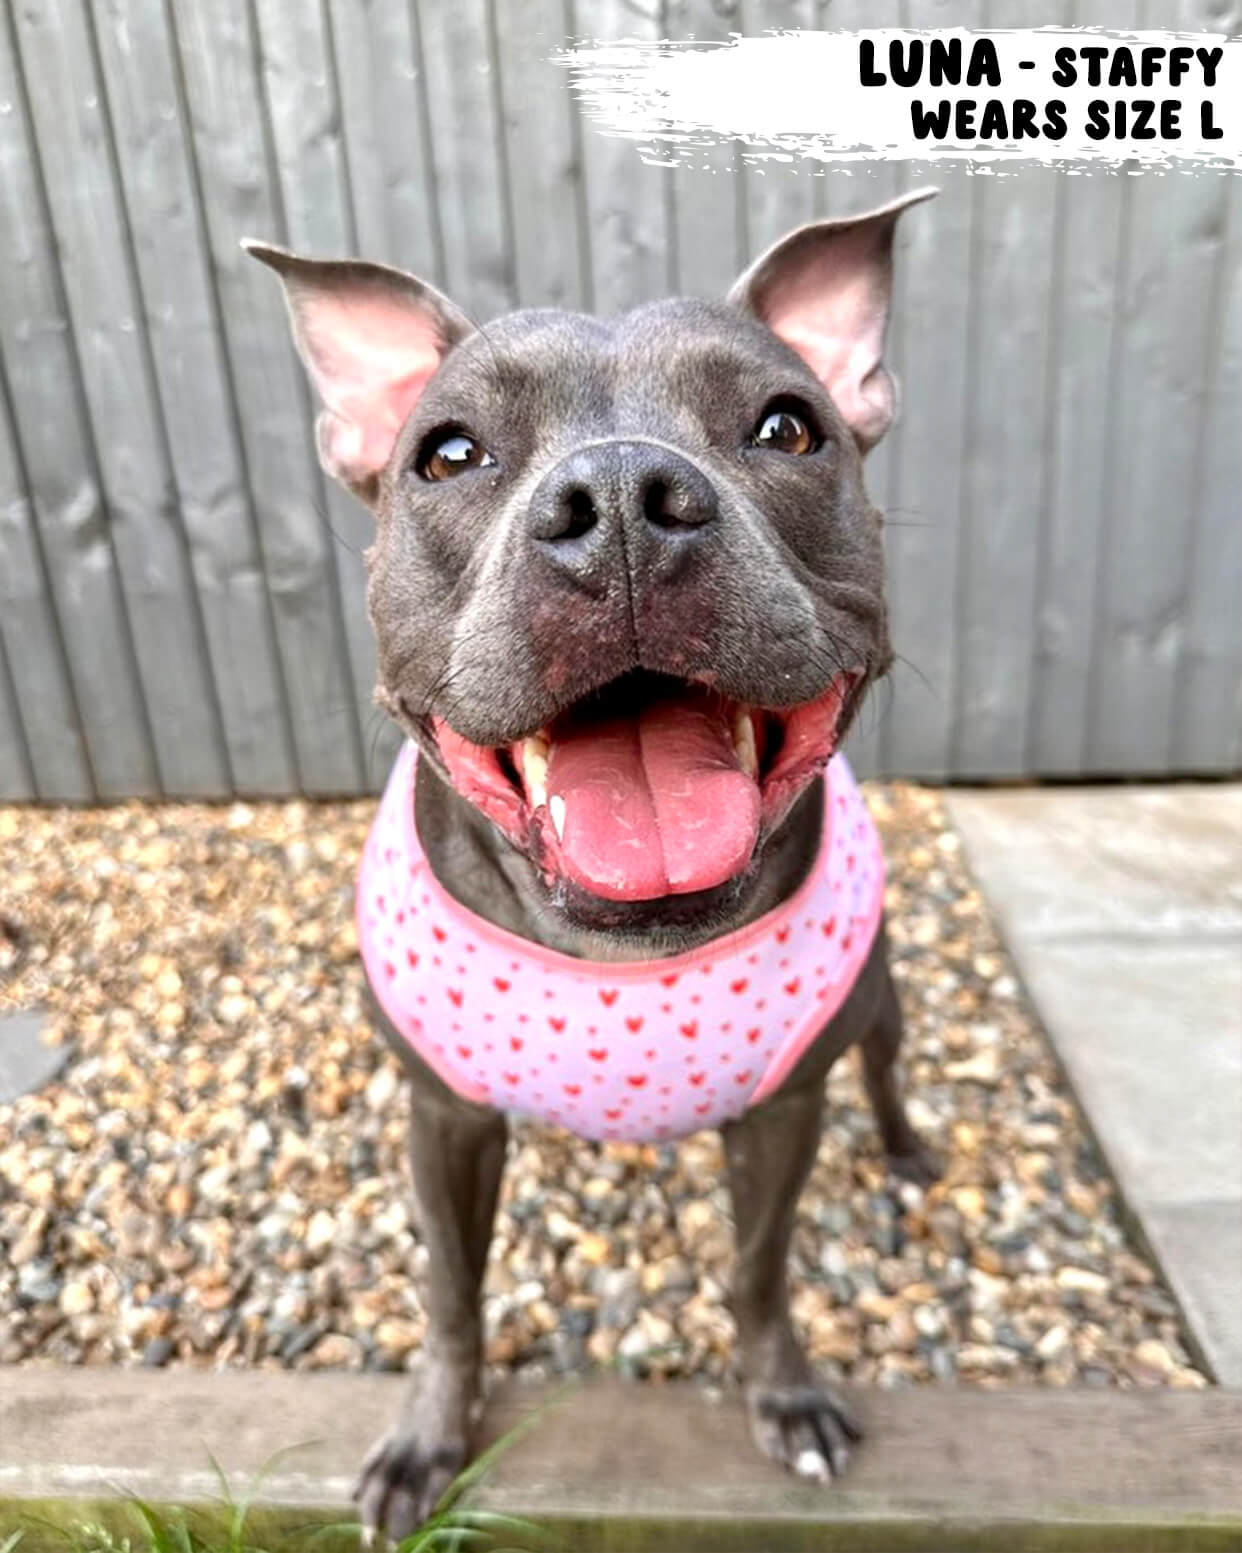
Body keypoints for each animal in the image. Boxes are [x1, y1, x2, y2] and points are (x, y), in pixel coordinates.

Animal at [246, 191, 937, 1540]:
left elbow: (759, 1266)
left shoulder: (784, 1109)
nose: (621, 495)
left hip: (874, 1007)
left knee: (884, 1068)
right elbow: (452, 1294)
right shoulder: (444, 1116)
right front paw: (428, 1437)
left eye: (788, 426)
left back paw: (906, 1149)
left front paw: (785, 1394)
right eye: (449, 453)